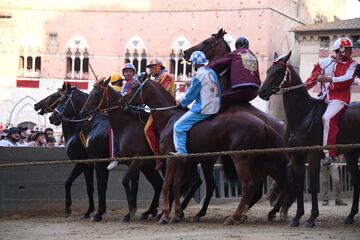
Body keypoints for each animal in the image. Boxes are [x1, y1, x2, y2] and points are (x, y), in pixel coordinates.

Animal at [34, 84, 95, 219]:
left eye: (55, 96)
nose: (36, 105)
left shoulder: (83, 163)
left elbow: (73, 184)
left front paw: (69, 208)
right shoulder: (88, 165)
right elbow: (86, 186)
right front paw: (88, 211)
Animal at [79, 79, 214, 223]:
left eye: (97, 93)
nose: (83, 112)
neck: (127, 124)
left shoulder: (133, 160)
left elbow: (119, 182)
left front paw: (120, 212)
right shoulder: (132, 162)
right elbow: (132, 184)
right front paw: (130, 211)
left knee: (185, 183)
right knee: (181, 183)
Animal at [119, 73, 292, 225]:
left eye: (132, 86)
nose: (122, 100)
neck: (170, 117)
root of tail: (263, 123)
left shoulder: (171, 158)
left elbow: (166, 185)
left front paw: (166, 215)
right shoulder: (181, 160)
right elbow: (176, 185)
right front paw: (176, 214)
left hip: (241, 159)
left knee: (250, 185)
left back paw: (234, 217)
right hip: (261, 161)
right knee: (275, 182)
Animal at [258, 50, 360, 227]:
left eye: (278, 71)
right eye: (268, 71)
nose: (261, 92)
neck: (303, 115)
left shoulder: (312, 156)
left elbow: (312, 186)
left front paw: (311, 218)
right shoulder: (297, 155)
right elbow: (299, 185)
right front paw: (297, 217)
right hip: (351, 154)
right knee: (356, 182)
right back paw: (350, 216)